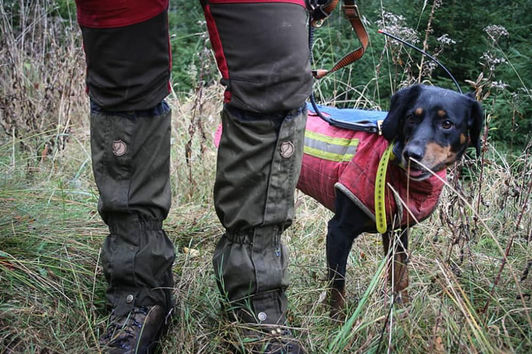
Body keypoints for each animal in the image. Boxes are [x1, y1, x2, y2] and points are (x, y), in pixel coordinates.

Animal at [298, 84, 484, 316]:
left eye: (447, 123)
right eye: (411, 117)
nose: (412, 154)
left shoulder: (397, 230)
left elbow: (400, 275)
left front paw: (402, 314)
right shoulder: (338, 231)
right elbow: (338, 286)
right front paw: (338, 322)